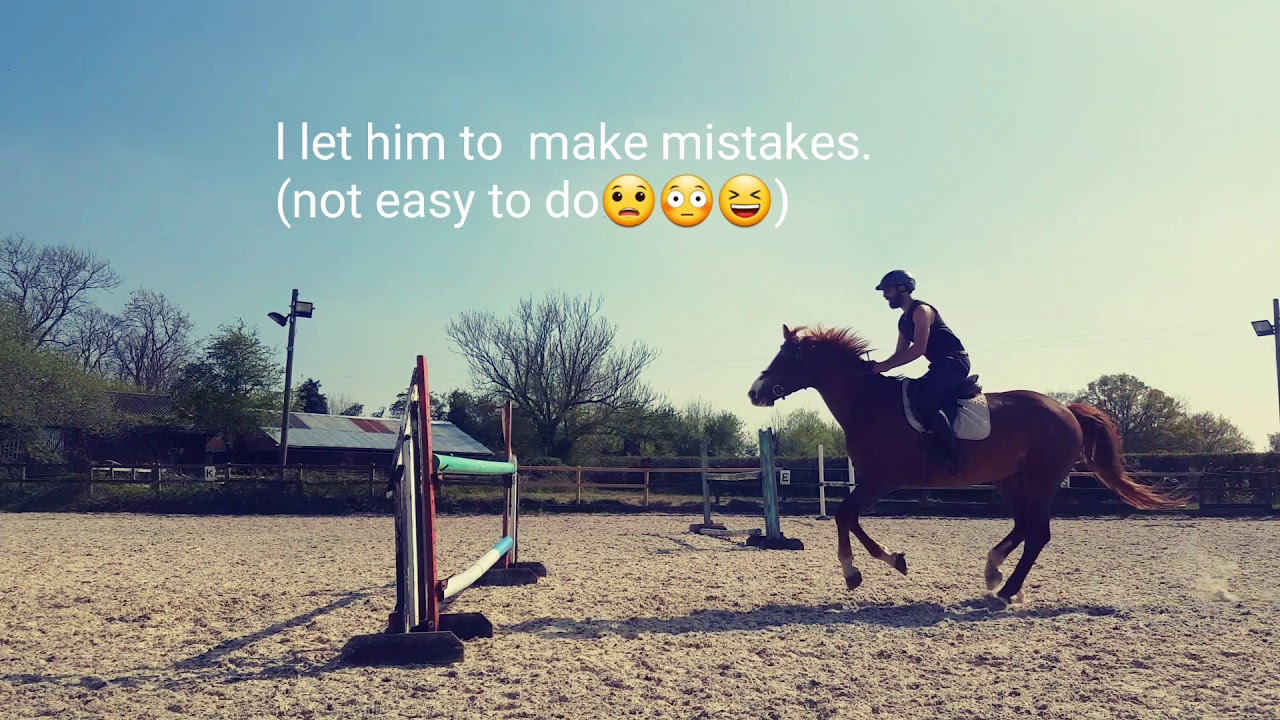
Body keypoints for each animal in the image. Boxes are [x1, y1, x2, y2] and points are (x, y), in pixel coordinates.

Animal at [747, 324, 1188, 605]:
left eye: (789, 357)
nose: (755, 392)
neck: (868, 402)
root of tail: (1067, 410)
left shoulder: (881, 480)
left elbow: (844, 516)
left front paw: (861, 570)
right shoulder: (875, 482)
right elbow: (847, 517)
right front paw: (882, 564)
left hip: (1040, 479)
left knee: (1038, 533)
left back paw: (1005, 590)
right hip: (1010, 480)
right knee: (1025, 526)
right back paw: (995, 574)